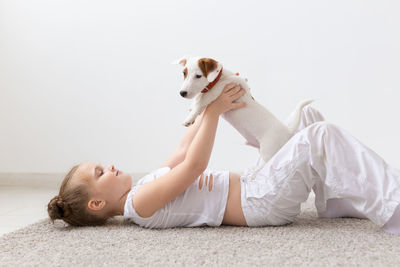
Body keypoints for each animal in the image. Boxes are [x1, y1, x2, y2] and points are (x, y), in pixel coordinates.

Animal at [173, 55, 314, 166]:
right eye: (184, 73)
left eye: (198, 76)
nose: (182, 93)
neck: (219, 78)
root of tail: (287, 131)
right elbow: (199, 100)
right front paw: (192, 109)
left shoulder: (220, 88)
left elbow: (202, 100)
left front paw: (190, 117)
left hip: (269, 151)